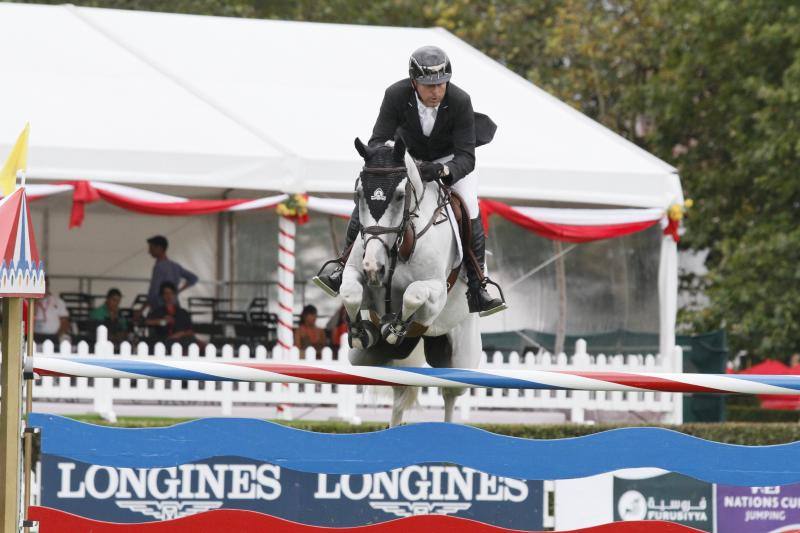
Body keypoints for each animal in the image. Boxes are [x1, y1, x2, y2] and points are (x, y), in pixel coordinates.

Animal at [340, 136, 482, 424]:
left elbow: (414, 294)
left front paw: (394, 328)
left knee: (450, 393)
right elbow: (350, 291)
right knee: (399, 391)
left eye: (399, 195)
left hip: (460, 358)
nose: (374, 268)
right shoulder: (357, 276)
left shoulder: (437, 292)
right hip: (370, 359)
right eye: (359, 194)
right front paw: (361, 330)